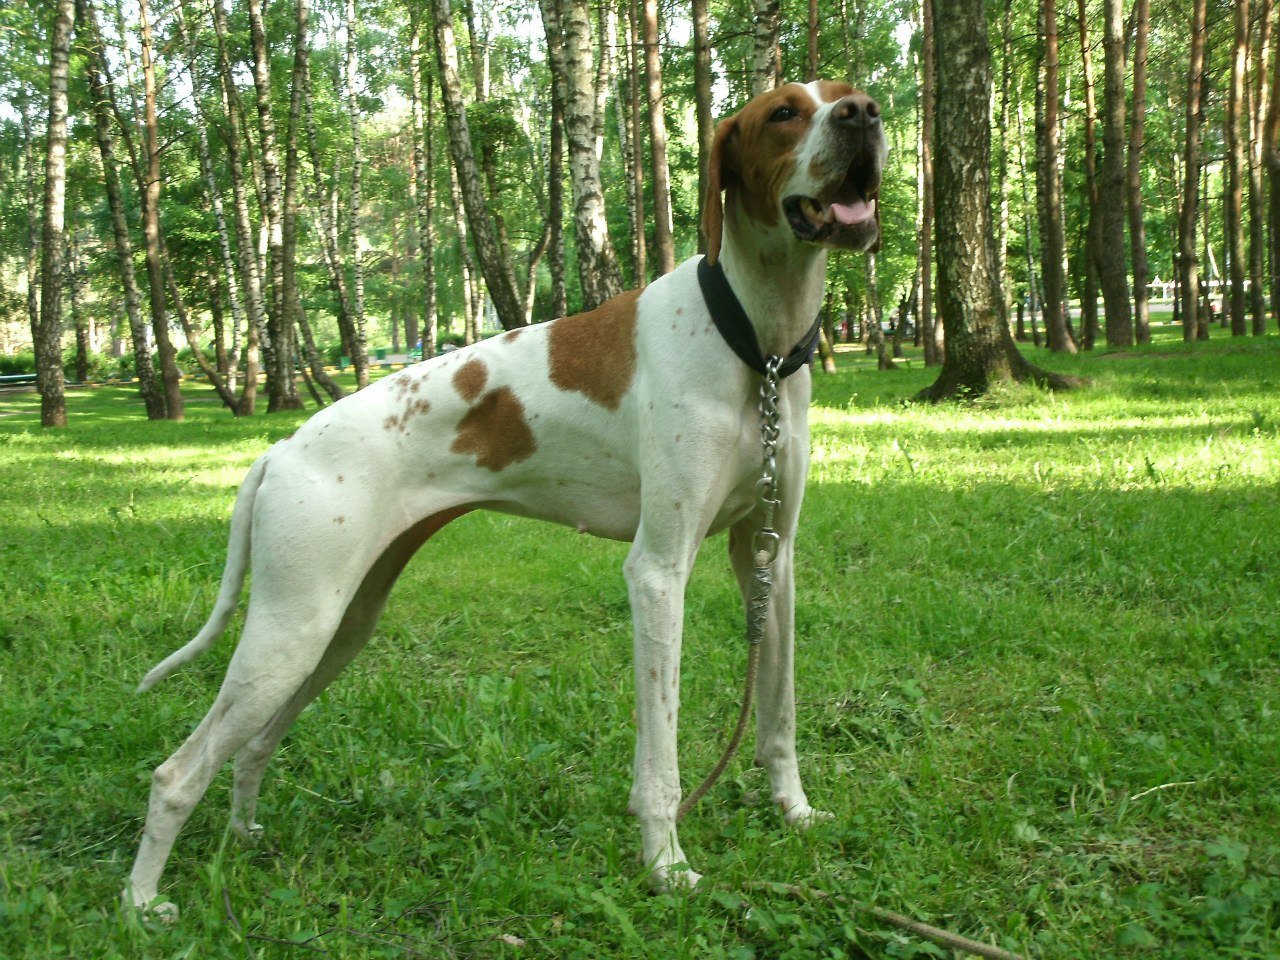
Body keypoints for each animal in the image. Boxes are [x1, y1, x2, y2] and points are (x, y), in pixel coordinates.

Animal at [132, 79, 890, 911]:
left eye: (847, 95)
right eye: (783, 113)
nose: (864, 115)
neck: (757, 345)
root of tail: (278, 450)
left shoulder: (768, 557)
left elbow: (778, 717)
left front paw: (794, 812)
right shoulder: (658, 574)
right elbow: (660, 757)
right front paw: (665, 865)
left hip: (336, 627)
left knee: (252, 745)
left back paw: (244, 837)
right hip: (291, 629)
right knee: (175, 772)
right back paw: (142, 904)